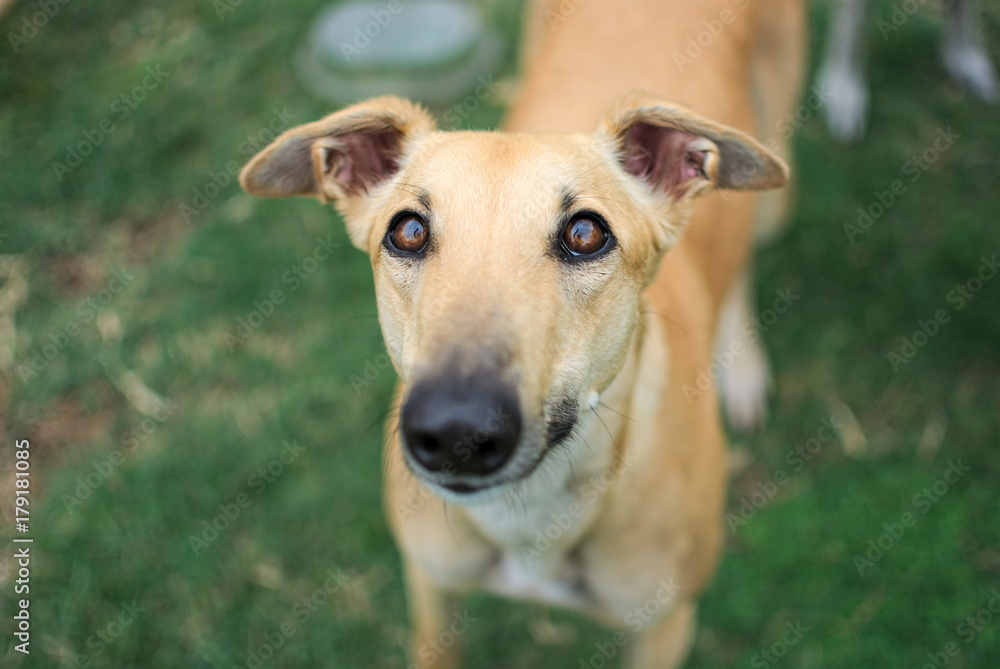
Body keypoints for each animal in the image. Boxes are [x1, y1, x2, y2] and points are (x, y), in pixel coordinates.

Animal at [240, 0, 804, 664]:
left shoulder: (666, 626)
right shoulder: (429, 588)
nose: (454, 432)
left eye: (586, 233)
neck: (533, 516)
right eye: (407, 230)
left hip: (773, 180)